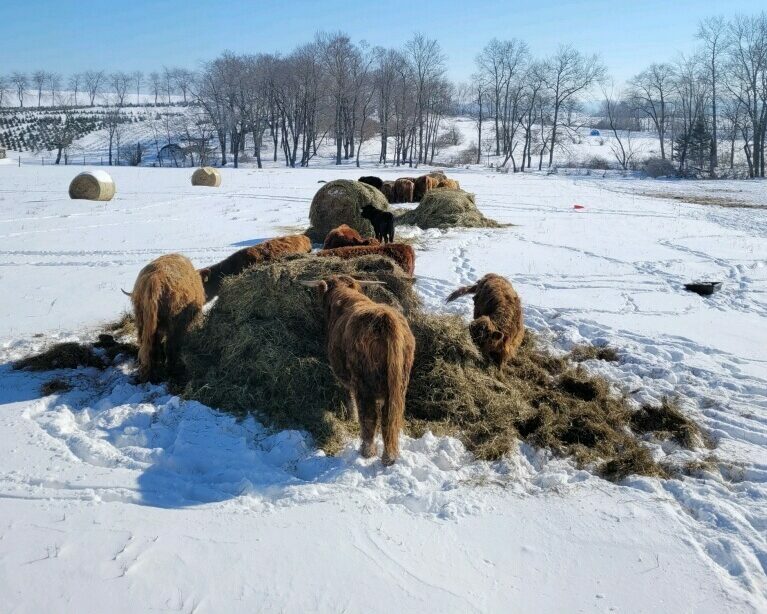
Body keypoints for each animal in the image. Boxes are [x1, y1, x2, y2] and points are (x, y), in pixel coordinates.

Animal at [125, 253, 204, 382]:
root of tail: (154, 279)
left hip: (142, 319)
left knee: (146, 344)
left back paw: (149, 372)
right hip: (172, 322)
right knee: (169, 346)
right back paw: (170, 370)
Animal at [302, 276, 416, 466]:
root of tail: (383, 318)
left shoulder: (344, 375)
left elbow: (349, 395)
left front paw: (351, 416)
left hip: (364, 384)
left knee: (370, 417)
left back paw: (366, 451)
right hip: (399, 384)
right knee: (388, 417)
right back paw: (389, 457)